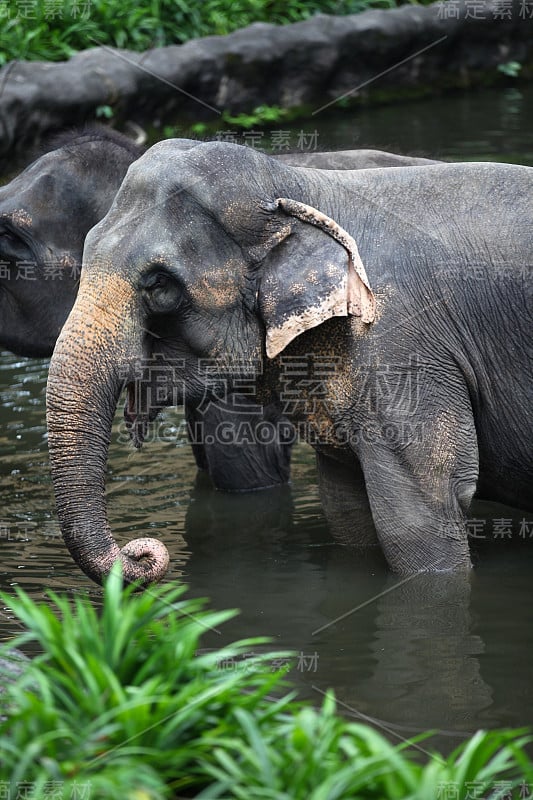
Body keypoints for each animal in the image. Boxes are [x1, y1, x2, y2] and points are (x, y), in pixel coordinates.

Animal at [44, 141, 528, 584]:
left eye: (160, 284)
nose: (142, 551)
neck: (298, 185)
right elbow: (347, 508)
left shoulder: (401, 350)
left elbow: (425, 508)